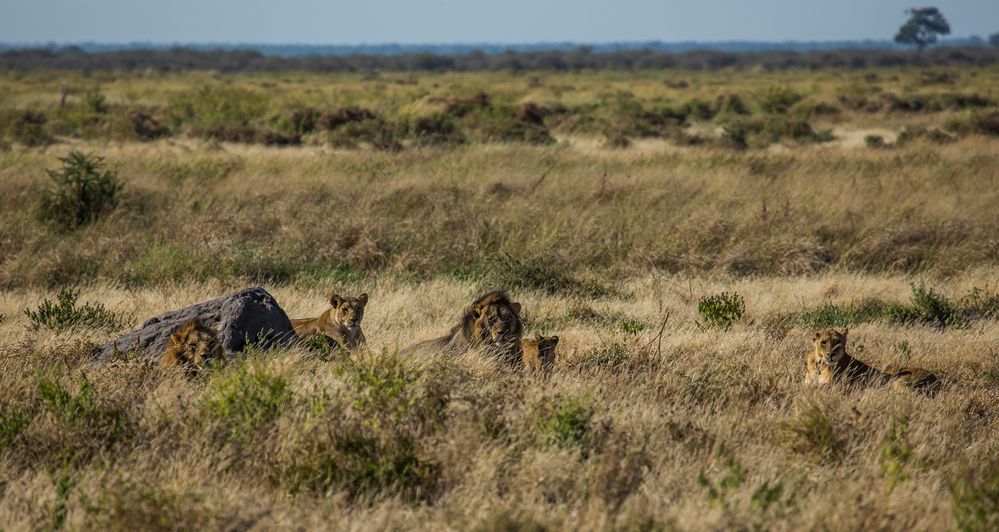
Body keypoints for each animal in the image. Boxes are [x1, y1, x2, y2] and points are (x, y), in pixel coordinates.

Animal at [808, 328, 940, 394]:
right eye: (823, 342)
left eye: (838, 342)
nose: (831, 354)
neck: (820, 365)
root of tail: (937, 379)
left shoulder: (836, 385)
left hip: (898, 381)